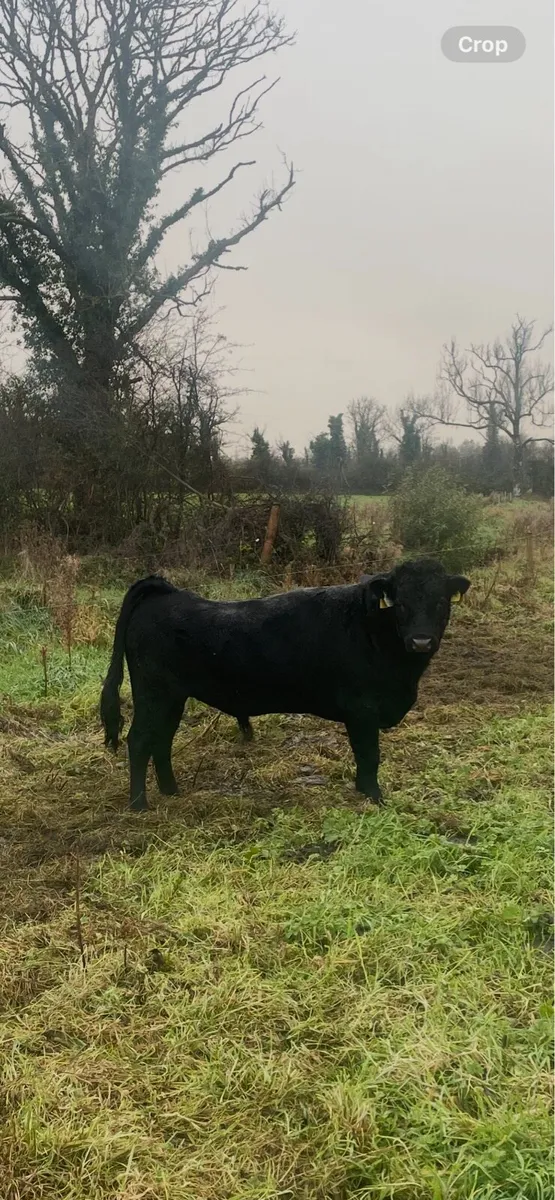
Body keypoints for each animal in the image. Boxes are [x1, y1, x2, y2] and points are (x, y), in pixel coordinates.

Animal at [100, 558, 470, 812]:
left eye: (441, 602)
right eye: (401, 603)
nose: (421, 641)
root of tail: (165, 592)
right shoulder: (362, 709)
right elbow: (369, 755)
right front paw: (374, 797)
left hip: (172, 698)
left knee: (161, 741)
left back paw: (171, 791)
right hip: (153, 694)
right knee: (139, 740)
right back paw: (139, 804)